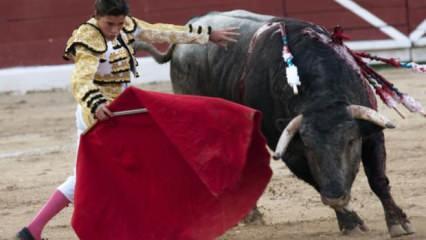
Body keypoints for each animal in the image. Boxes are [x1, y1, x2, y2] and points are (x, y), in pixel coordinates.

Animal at [138, 9, 414, 238]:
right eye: (310, 147)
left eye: (350, 141)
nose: (336, 196)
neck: (321, 97)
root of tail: (187, 32)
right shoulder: (289, 149)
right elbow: (315, 180)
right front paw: (350, 222)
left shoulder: (371, 132)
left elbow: (378, 179)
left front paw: (398, 222)